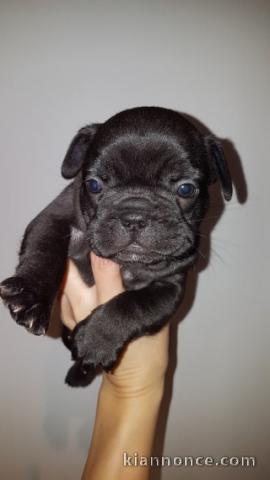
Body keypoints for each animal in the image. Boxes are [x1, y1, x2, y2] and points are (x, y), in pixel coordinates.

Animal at [0, 107, 232, 384]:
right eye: (94, 185)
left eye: (186, 189)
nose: (135, 216)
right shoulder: (53, 217)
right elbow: (44, 251)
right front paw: (32, 298)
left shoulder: (170, 288)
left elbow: (133, 305)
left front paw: (95, 340)